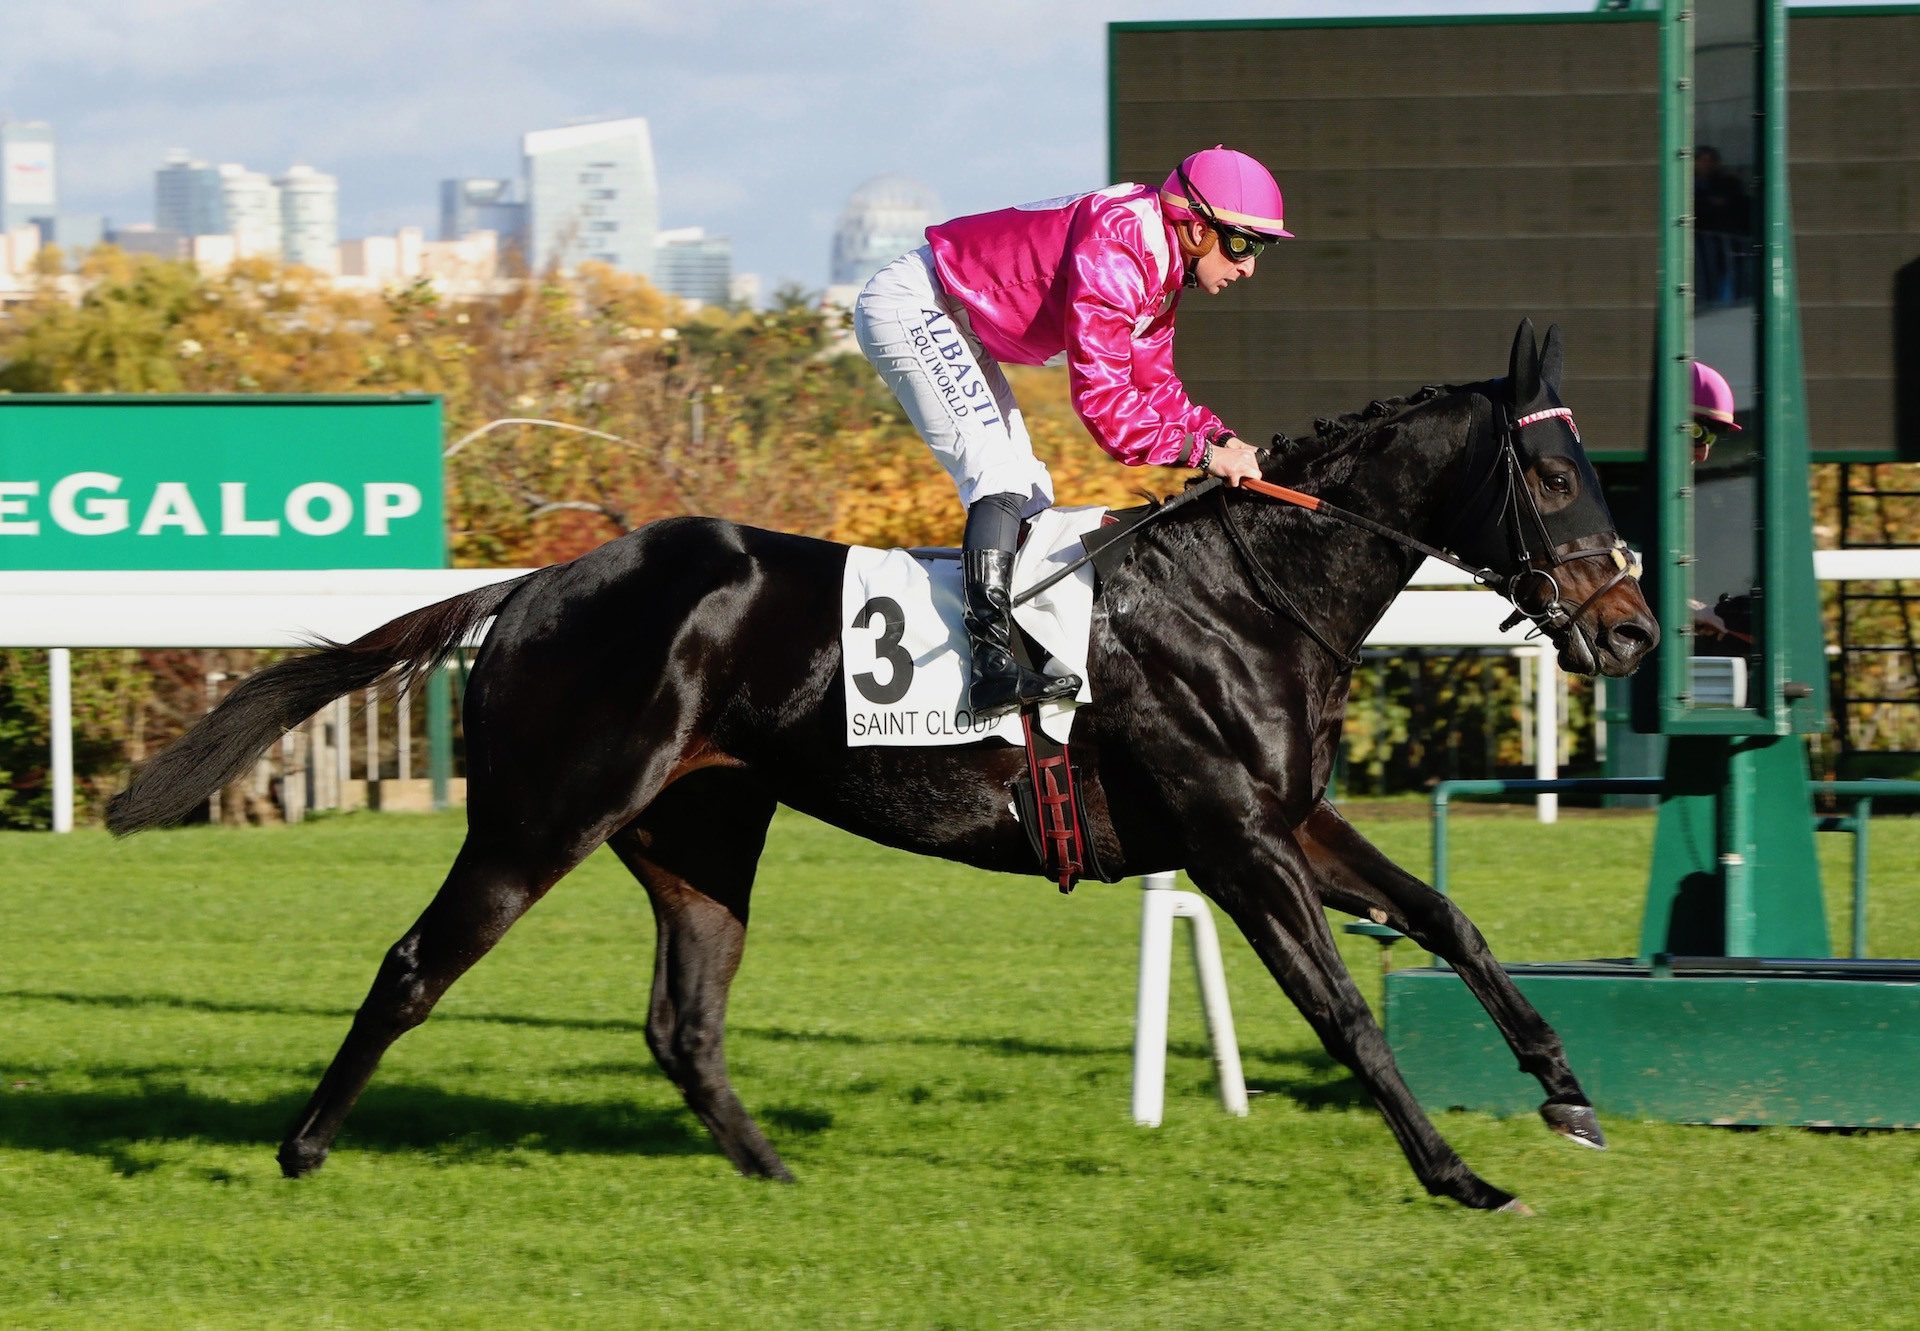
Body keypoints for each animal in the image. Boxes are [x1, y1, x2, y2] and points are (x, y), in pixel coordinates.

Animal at [112, 318, 1658, 1206]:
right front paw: (1459, 1173)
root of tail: (536, 582)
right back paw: (302, 1147)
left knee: (684, 1021)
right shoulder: (1235, 838)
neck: (1245, 589)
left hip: (699, 834)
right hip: (541, 817)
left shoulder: (1292, 817)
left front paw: (1566, 1089)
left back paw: (774, 1170)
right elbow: (1343, 1007)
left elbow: (1447, 916)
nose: (1634, 628)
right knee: (415, 965)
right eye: (1557, 475)